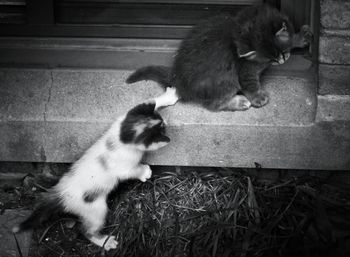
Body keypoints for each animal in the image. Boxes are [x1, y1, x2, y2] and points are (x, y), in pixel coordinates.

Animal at [13, 88, 178, 250]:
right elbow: (131, 171)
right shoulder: (123, 167)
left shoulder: (123, 118)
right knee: (86, 231)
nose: (167, 123)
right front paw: (144, 171)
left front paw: (168, 96)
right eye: (162, 130)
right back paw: (105, 241)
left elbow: (151, 100)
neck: (120, 138)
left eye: (162, 120)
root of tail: (61, 193)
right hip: (95, 209)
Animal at [127, 4, 314, 111]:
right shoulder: (244, 69)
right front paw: (257, 97)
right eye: (272, 58)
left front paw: (299, 37)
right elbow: (250, 83)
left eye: (281, 53)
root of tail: (177, 77)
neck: (238, 28)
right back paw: (237, 102)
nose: (282, 60)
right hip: (225, 80)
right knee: (212, 105)